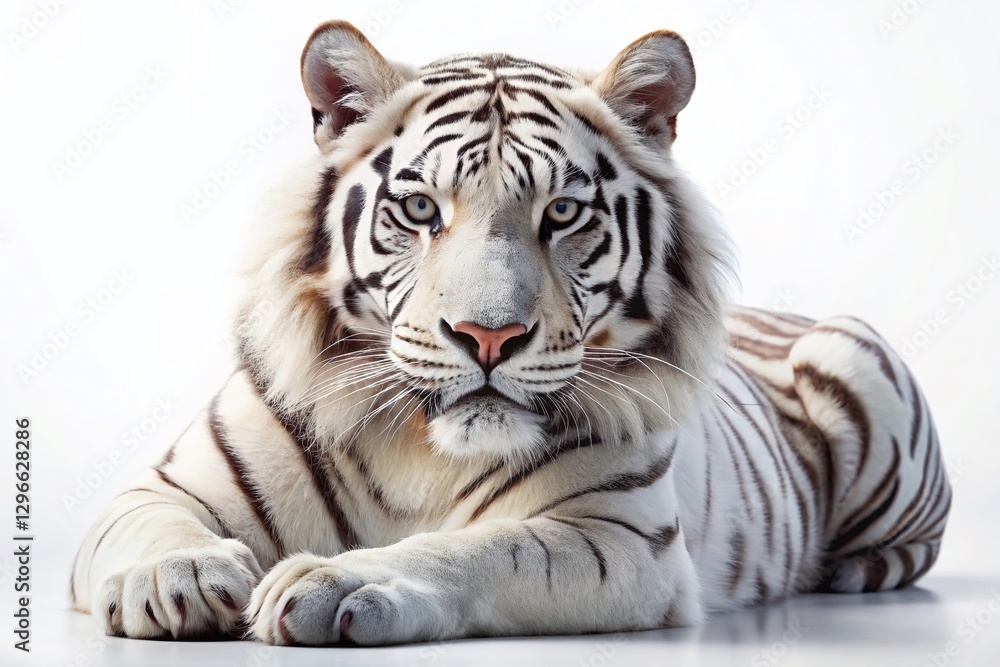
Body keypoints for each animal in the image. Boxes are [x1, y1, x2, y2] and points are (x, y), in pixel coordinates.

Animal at [70, 20, 951, 645]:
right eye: (418, 208)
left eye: (561, 212)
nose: (488, 337)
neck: (419, 447)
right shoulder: (167, 484)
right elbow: (146, 522)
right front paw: (180, 577)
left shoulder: (619, 537)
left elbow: (478, 548)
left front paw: (339, 583)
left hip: (849, 352)